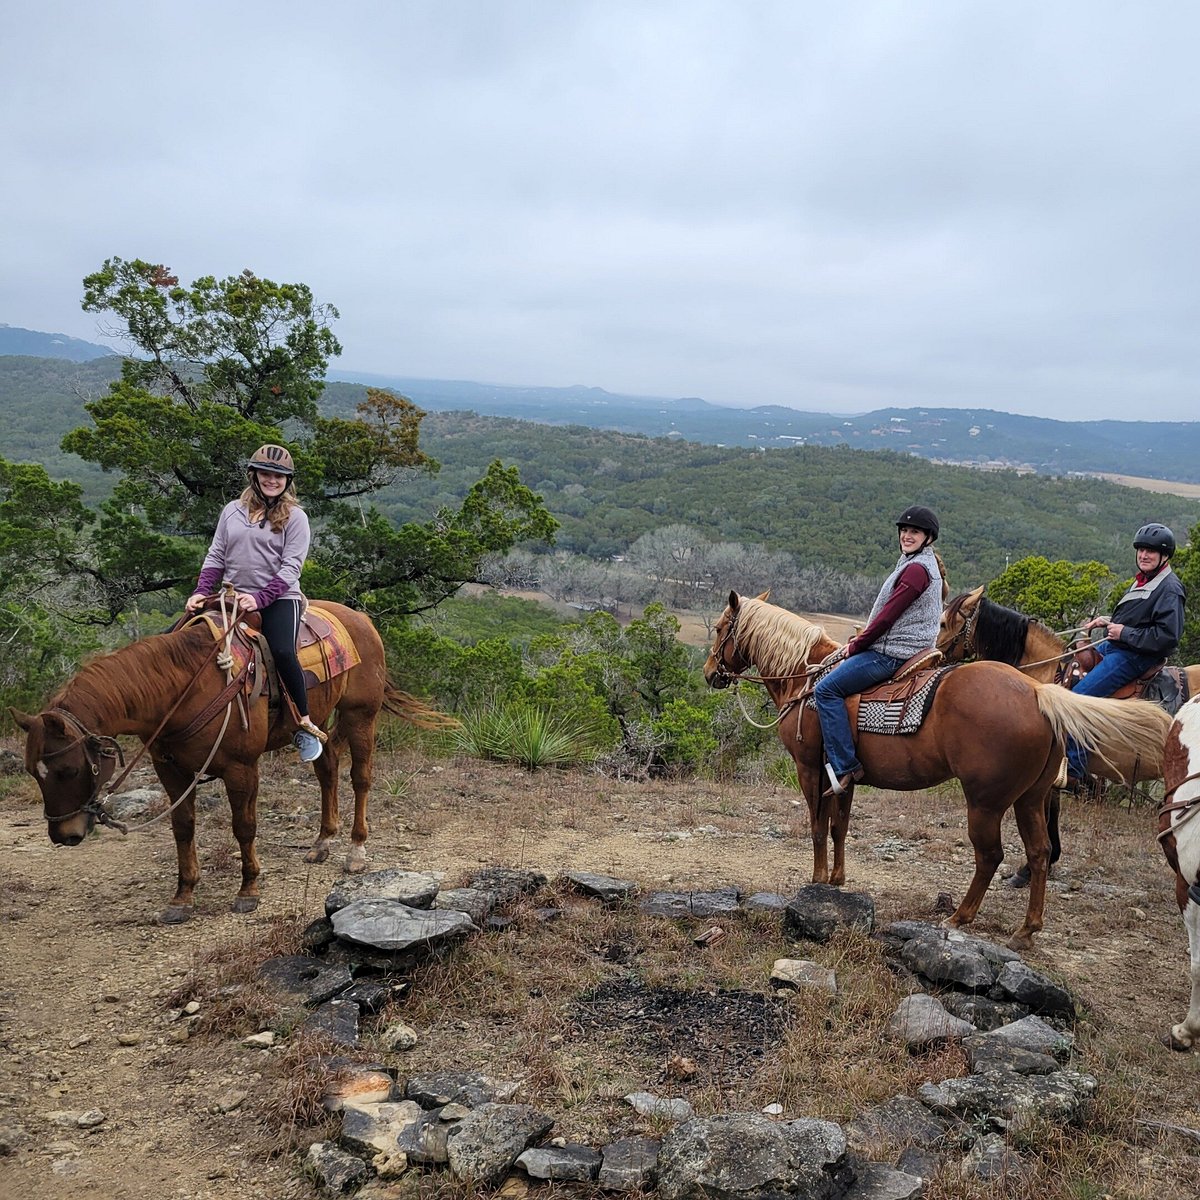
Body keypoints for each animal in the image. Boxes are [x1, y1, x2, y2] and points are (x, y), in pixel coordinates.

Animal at [700, 590, 1171, 945]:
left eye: (721, 629)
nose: (708, 674)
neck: (806, 678)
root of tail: (1040, 692)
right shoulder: (843, 774)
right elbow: (839, 827)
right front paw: (836, 879)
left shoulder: (810, 768)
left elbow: (817, 826)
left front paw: (816, 880)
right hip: (1032, 798)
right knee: (1038, 853)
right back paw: (1026, 930)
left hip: (985, 801)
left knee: (990, 855)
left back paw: (960, 917)